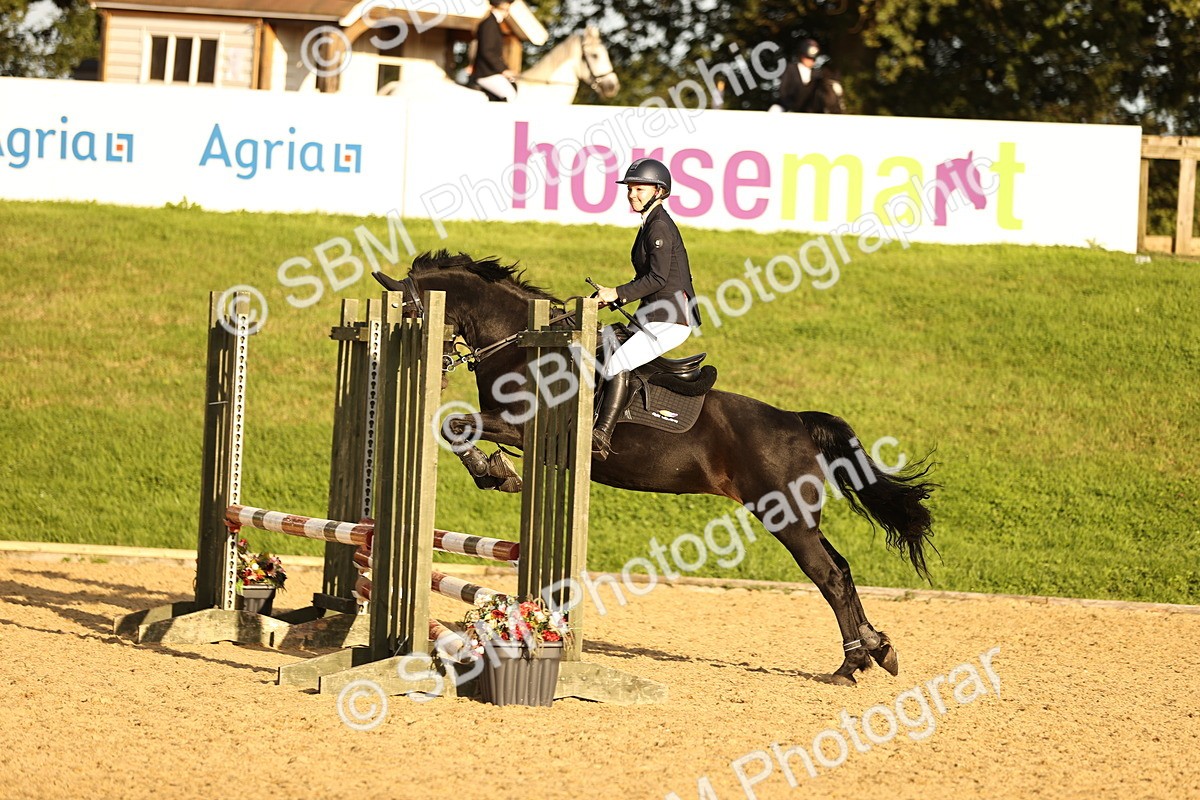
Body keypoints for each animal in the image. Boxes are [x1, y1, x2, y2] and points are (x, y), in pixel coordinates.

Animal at [374, 252, 937, 686]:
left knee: (829, 577)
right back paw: (877, 649)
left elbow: (455, 425)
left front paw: (494, 472)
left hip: (787, 518)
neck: (522, 345)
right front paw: (495, 471)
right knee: (841, 567)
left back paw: (850, 664)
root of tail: (798, 422)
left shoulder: (520, 427)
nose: (435, 374)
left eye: (413, 312)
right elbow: (456, 427)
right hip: (798, 517)